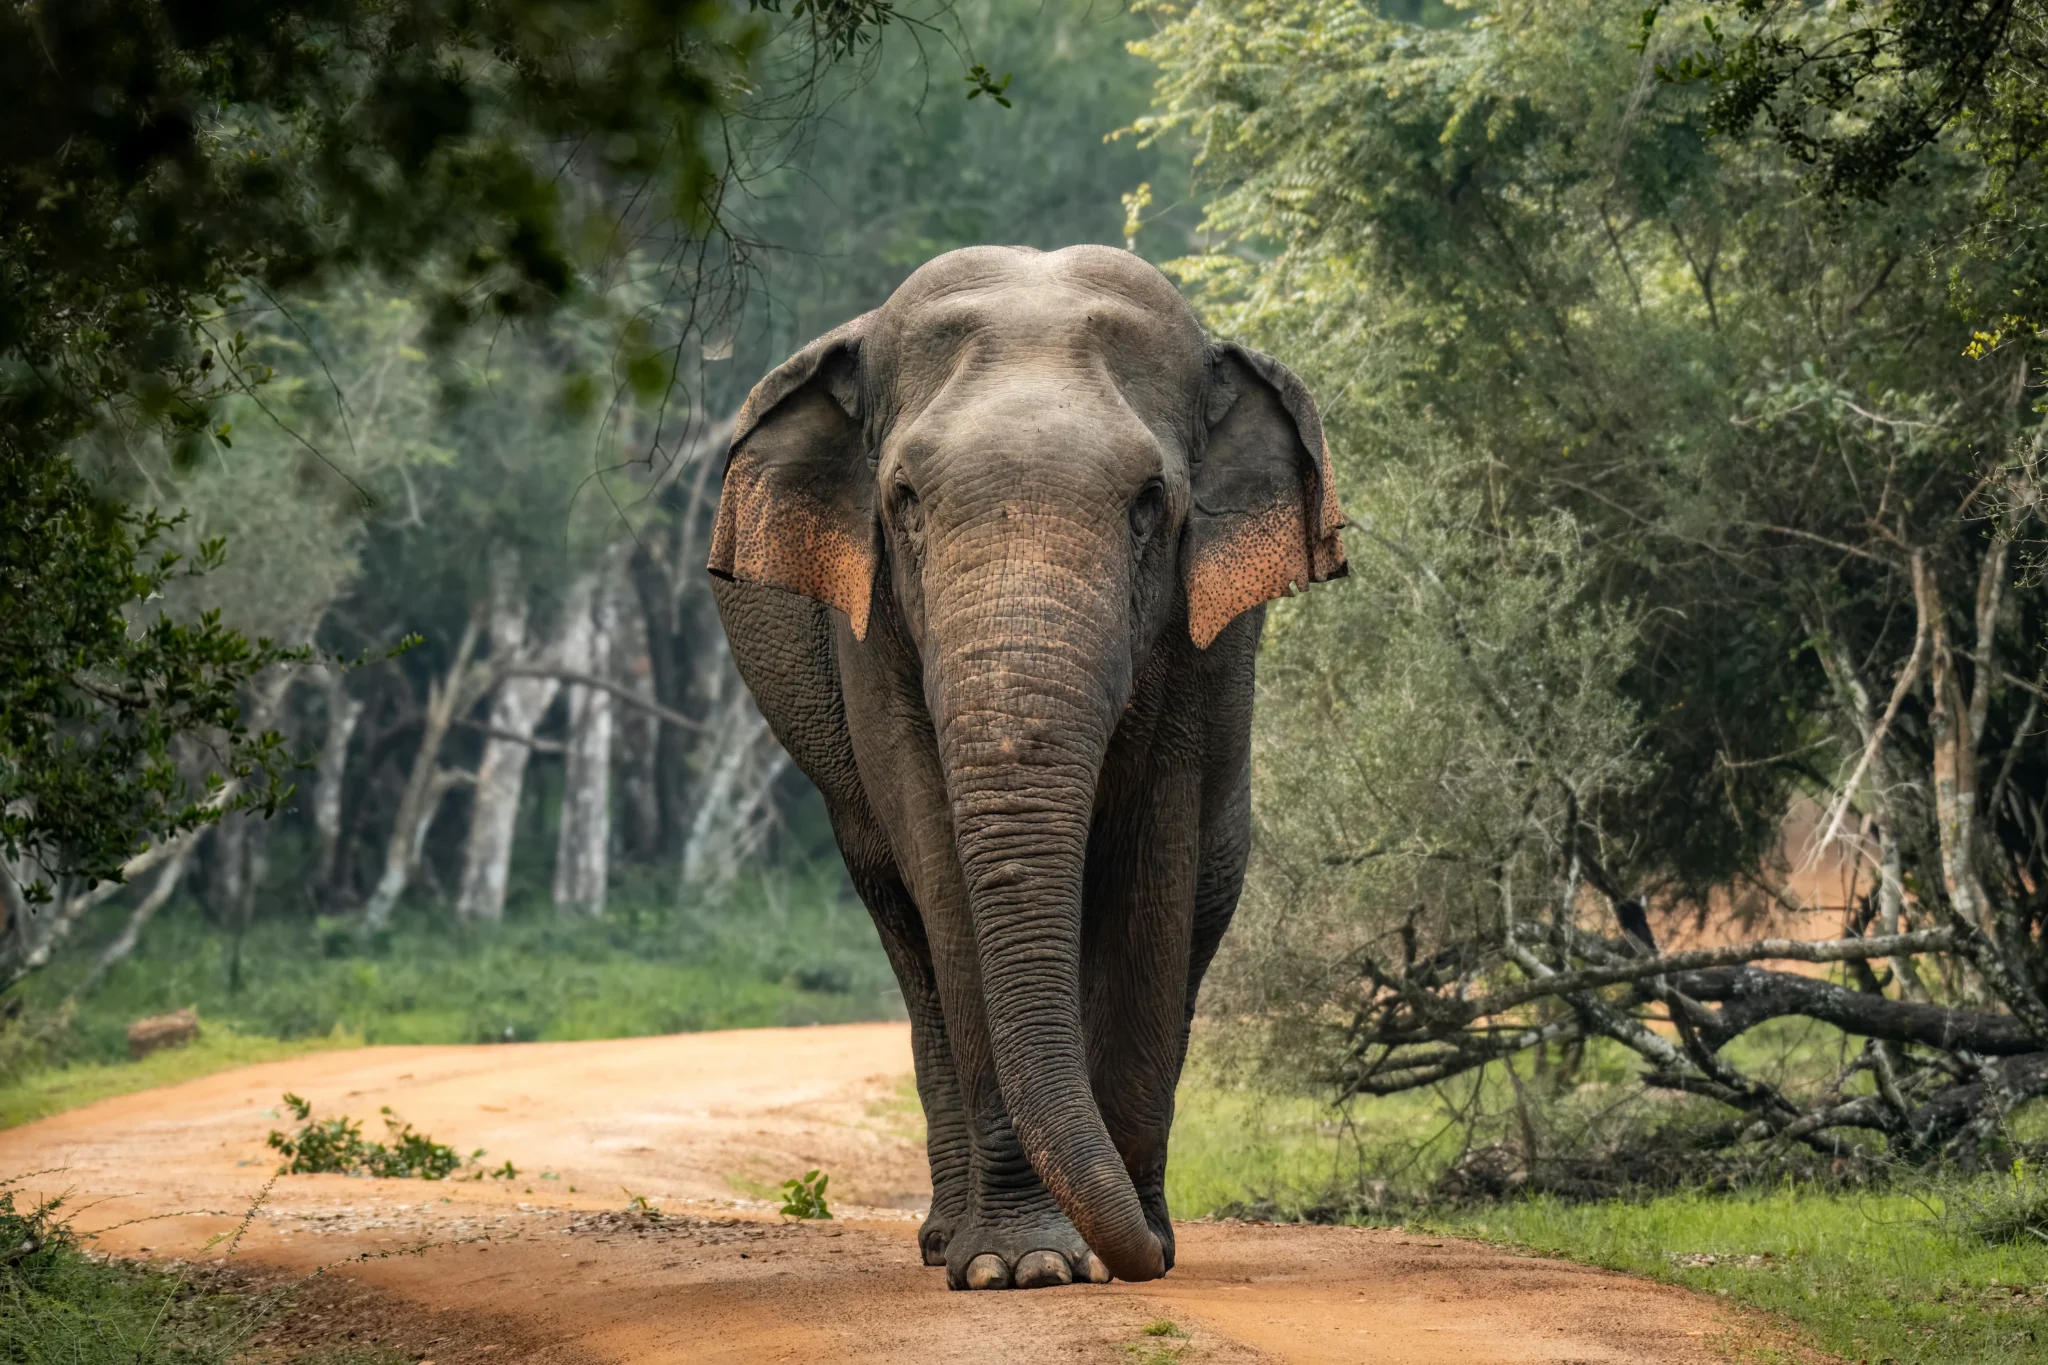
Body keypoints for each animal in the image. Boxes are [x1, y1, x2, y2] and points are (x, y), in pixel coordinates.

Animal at [708, 245, 1345, 1290]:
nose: (1138, 1253)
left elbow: (1154, 863)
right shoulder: (873, 628)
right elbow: (942, 866)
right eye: (904, 502)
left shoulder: (1197, 646)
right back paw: (945, 1243)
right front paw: (1025, 1267)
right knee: (905, 926)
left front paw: (1132, 1248)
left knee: (1201, 899)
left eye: (1150, 504)